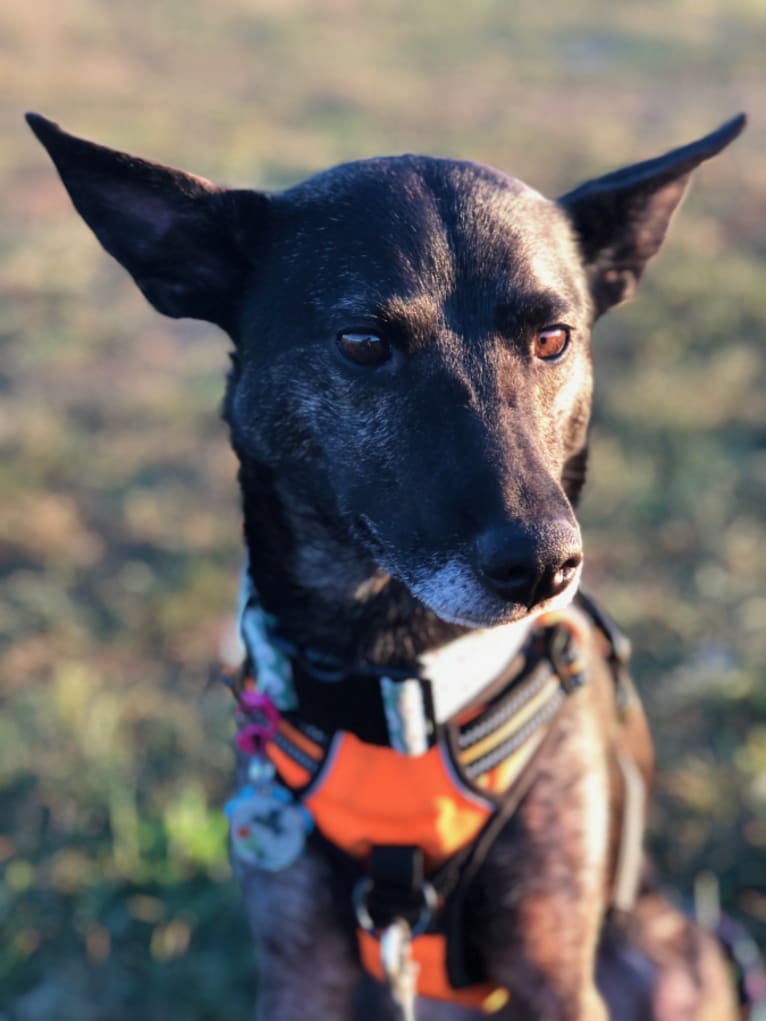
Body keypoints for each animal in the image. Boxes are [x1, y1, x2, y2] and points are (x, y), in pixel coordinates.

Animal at [28, 111, 743, 1021]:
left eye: (553, 339)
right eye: (364, 342)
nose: (546, 564)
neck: (400, 675)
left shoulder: (556, 972)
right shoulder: (302, 970)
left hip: (671, 957)